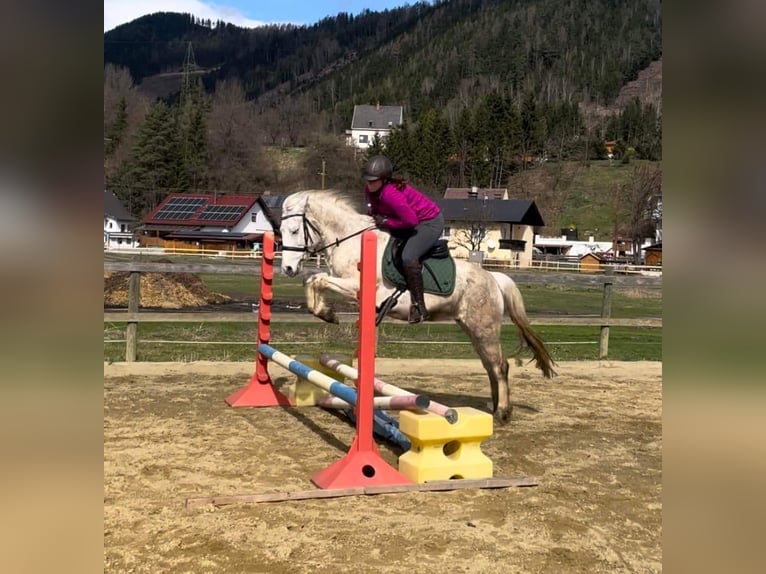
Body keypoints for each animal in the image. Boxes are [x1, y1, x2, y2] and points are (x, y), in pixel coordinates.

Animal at [276, 189, 560, 424]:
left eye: (294, 230)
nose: (287, 268)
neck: (350, 240)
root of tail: (494, 278)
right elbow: (313, 280)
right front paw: (324, 312)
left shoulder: (356, 286)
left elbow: (317, 279)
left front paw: (327, 314)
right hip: (473, 329)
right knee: (491, 365)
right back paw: (495, 407)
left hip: (484, 329)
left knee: (500, 366)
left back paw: (502, 412)